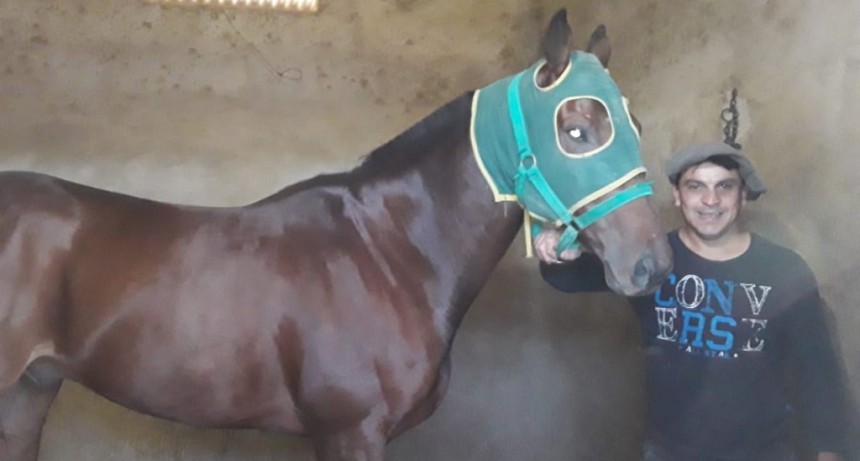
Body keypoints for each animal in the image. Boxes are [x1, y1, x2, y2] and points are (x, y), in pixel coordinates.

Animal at [0, 9, 671, 461]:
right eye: (576, 130)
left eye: (636, 123)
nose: (652, 264)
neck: (388, 252)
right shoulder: (350, 432)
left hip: (30, 392)